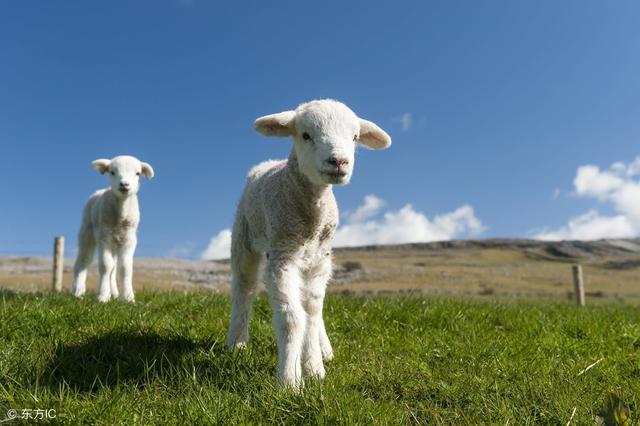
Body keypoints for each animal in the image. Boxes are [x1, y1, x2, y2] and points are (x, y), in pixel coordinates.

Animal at [71, 156, 155, 302]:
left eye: (138, 173)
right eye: (112, 172)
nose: (124, 184)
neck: (121, 216)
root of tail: (99, 191)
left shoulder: (129, 239)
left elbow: (125, 267)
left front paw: (127, 297)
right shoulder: (104, 237)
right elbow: (105, 266)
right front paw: (103, 296)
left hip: (115, 242)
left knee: (114, 268)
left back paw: (114, 293)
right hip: (87, 232)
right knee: (83, 261)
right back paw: (78, 291)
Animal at [228, 98, 392, 388]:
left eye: (354, 137)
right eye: (305, 135)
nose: (338, 161)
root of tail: (269, 163)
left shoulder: (319, 261)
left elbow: (313, 314)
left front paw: (314, 367)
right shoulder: (282, 256)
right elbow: (293, 319)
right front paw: (289, 380)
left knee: (312, 305)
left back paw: (323, 348)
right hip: (244, 237)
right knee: (244, 288)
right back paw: (237, 341)